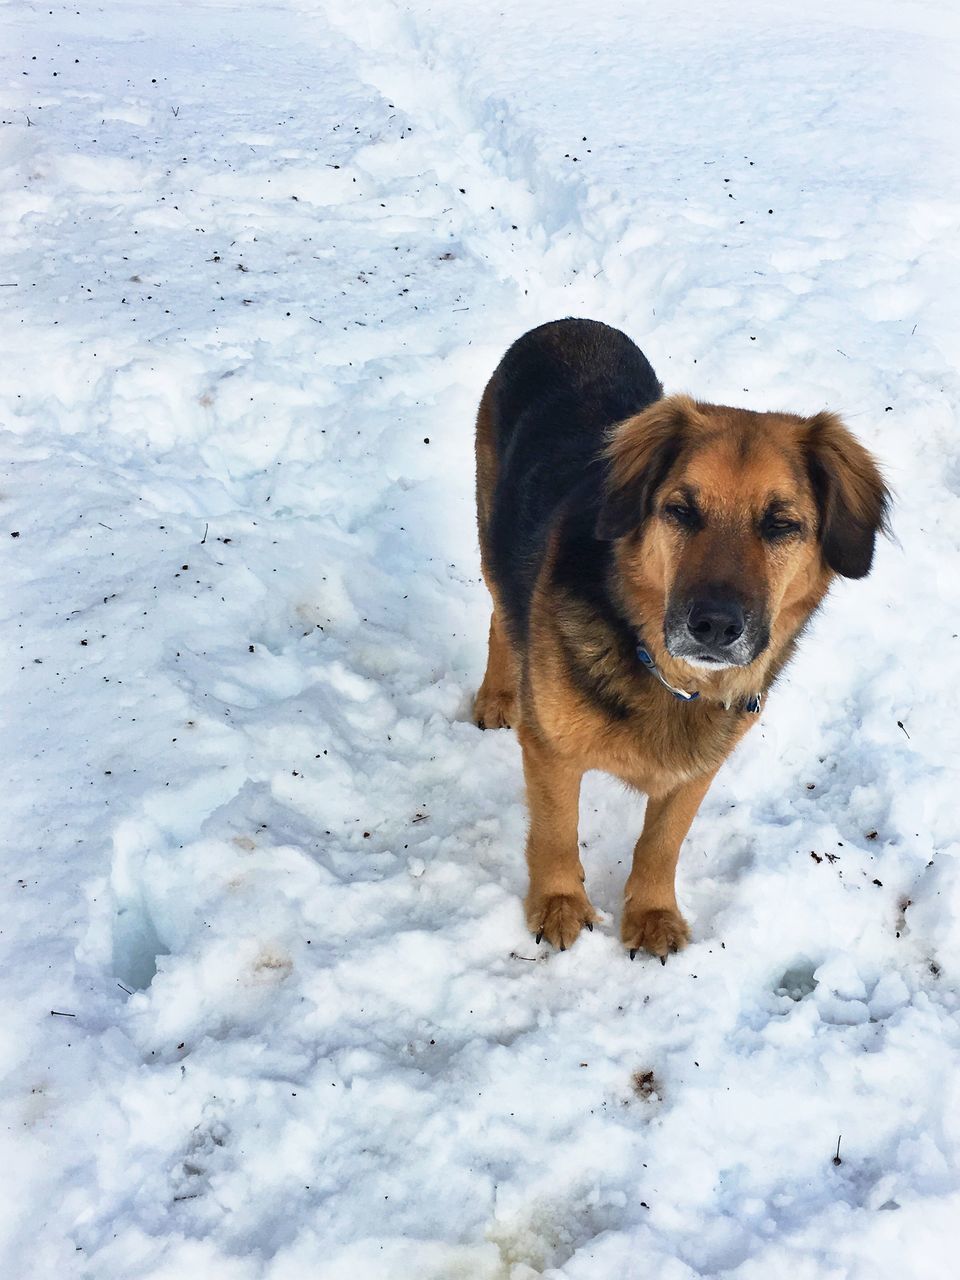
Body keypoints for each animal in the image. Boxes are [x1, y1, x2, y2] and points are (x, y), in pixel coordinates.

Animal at [478, 317, 890, 962]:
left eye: (781, 524)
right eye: (680, 511)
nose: (715, 626)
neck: (667, 674)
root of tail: (569, 322)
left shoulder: (698, 770)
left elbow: (662, 842)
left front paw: (651, 913)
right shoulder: (550, 751)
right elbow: (555, 833)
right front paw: (559, 904)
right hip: (490, 524)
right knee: (501, 615)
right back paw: (497, 695)